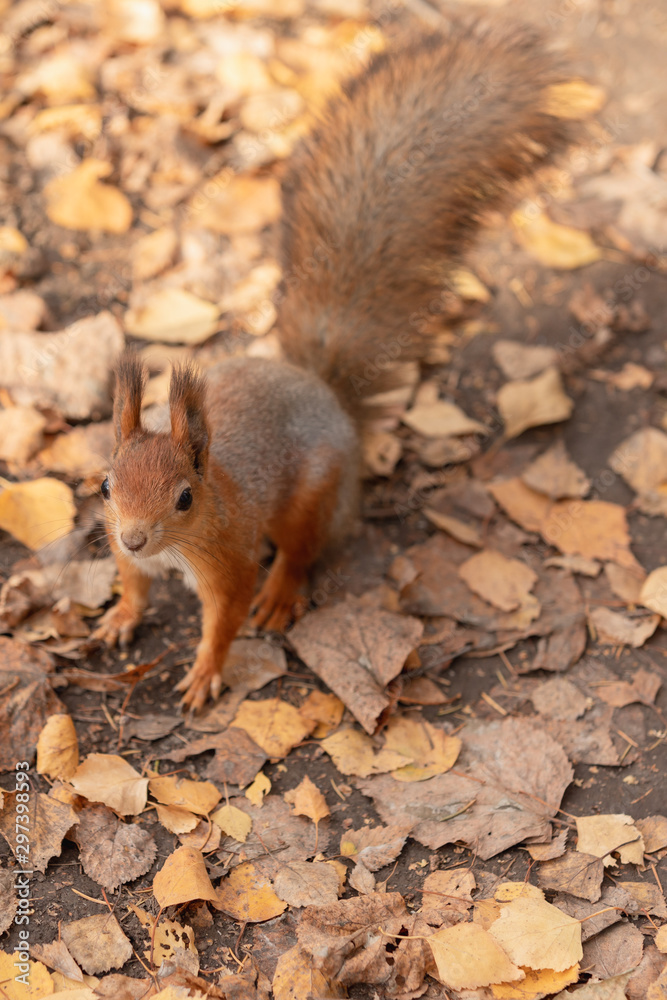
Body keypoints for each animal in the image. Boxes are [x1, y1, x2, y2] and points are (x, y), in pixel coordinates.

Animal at [93, 19, 574, 710]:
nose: (133, 535)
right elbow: (132, 585)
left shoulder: (228, 561)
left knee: (300, 551)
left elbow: (224, 617)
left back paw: (281, 595)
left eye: (185, 498)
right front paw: (120, 617)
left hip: (314, 497)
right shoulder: (127, 553)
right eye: (106, 486)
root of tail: (321, 390)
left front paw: (206, 672)